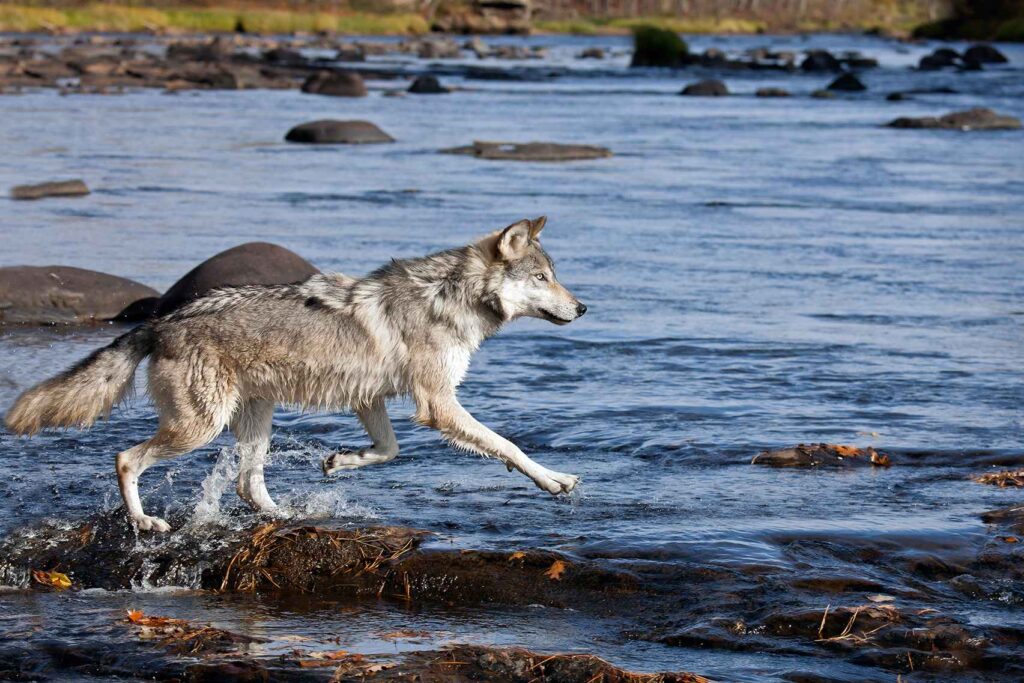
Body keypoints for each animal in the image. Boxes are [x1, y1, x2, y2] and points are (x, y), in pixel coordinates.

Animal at [4, 219, 589, 532]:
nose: (583, 307)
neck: (449, 299)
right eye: (542, 278)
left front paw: (339, 461)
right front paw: (553, 480)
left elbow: (389, 450)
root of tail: (160, 321)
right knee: (125, 458)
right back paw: (145, 522)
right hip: (201, 428)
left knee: (246, 485)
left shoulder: (371, 399)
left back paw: (283, 515)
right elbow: (508, 446)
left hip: (255, 419)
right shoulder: (437, 405)